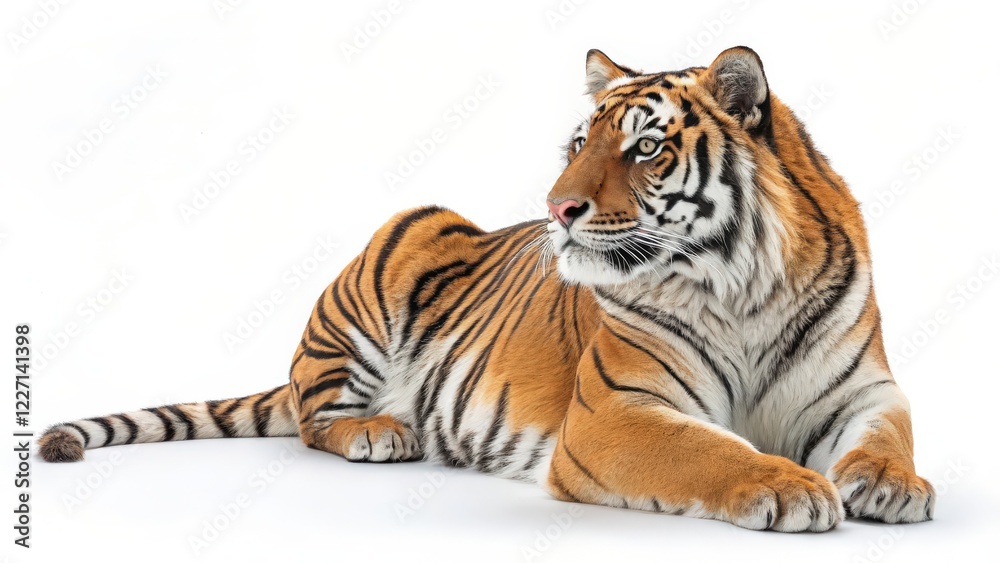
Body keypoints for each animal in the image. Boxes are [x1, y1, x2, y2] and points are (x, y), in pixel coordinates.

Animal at [39, 46, 934, 532]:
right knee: (313, 417)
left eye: (644, 148)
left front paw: (891, 486)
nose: (557, 206)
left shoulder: (864, 390)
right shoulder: (616, 413)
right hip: (400, 246)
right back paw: (380, 431)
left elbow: (888, 437)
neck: (740, 283)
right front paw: (788, 486)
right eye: (578, 143)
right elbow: (710, 448)